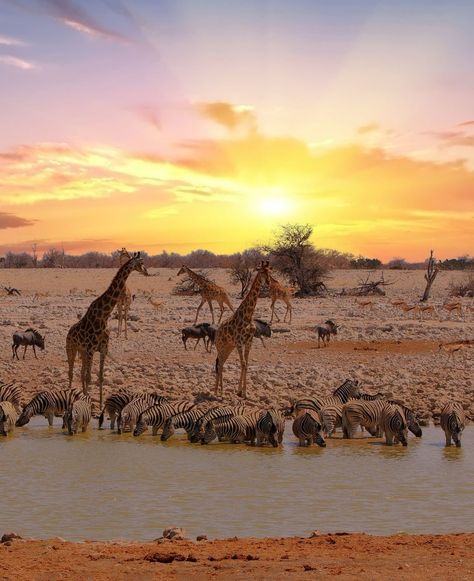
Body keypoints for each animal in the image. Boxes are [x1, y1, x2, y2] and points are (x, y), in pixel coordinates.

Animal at [65, 253, 146, 408]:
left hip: (82, 351)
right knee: (71, 372)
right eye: (141, 263)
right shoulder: (91, 349)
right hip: (71, 348)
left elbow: (100, 377)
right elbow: (90, 378)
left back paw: (83, 394)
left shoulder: (102, 349)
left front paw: (101, 404)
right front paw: (90, 403)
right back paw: (70, 395)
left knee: (81, 372)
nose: (147, 271)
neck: (103, 317)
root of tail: (69, 333)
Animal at [215, 260, 270, 398]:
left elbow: (246, 363)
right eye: (261, 271)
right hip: (220, 346)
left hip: (229, 347)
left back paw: (218, 390)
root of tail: (217, 332)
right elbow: (243, 363)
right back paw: (219, 392)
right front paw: (241, 391)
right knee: (219, 364)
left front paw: (243, 392)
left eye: (269, 271)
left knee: (221, 363)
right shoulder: (240, 342)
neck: (248, 315)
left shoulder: (249, 341)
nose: (268, 282)